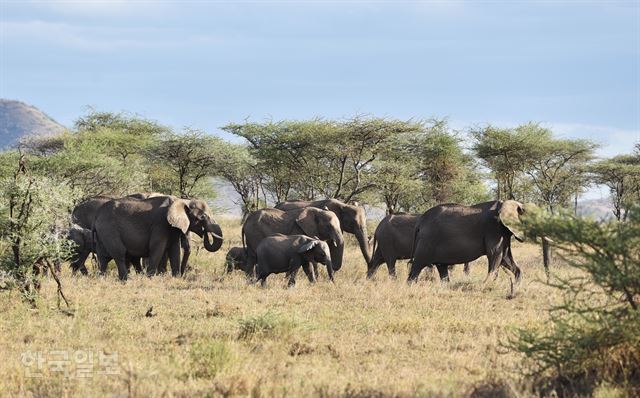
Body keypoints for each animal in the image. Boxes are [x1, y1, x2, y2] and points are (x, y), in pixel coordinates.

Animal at [92, 196, 222, 280]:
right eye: (203, 217)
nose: (205, 233)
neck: (183, 200)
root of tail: (97, 216)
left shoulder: (172, 228)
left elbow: (175, 251)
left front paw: (176, 278)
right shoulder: (160, 224)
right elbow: (157, 249)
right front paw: (150, 278)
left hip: (102, 233)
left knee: (103, 258)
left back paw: (101, 278)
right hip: (109, 230)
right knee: (119, 254)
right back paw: (125, 279)